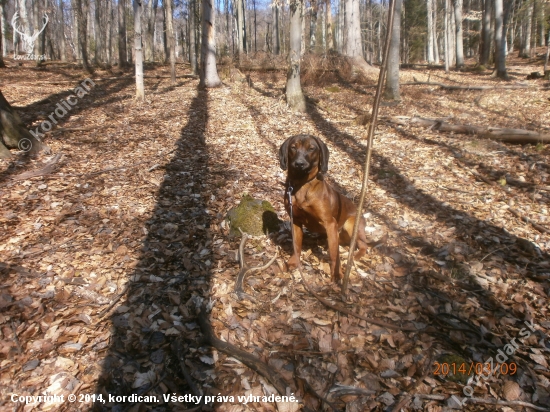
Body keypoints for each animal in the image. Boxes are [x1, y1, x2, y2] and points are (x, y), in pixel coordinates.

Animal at [280, 134, 370, 282]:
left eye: (311, 148)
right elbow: (296, 245)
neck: (302, 183)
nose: (299, 164)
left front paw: (337, 274)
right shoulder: (295, 220)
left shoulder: (330, 223)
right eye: (293, 147)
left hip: (351, 223)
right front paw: (293, 262)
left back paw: (354, 257)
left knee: (363, 245)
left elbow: (334, 254)